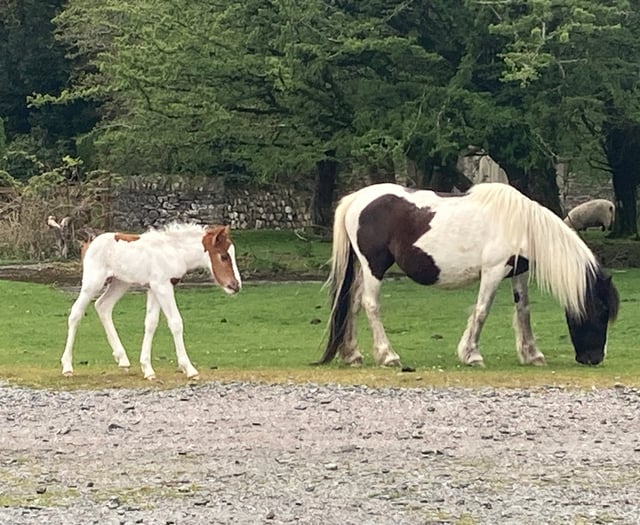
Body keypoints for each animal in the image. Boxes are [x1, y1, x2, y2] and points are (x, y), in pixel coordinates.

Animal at [320, 182, 620, 366]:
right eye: (601, 311)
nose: (594, 359)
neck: (521, 223)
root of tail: (356, 199)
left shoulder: (518, 273)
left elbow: (523, 311)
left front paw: (532, 354)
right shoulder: (493, 271)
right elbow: (481, 310)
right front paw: (471, 354)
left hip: (363, 268)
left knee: (353, 305)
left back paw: (352, 354)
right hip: (374, 266)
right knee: (370, 305)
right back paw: (388, 356)